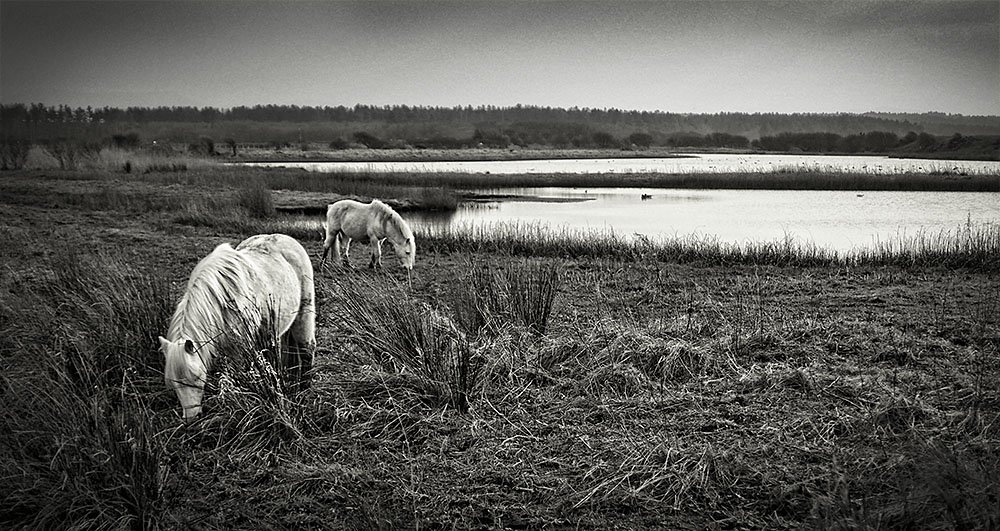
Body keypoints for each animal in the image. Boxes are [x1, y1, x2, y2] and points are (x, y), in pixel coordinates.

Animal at [158, 233, 316, 420]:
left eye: (196, 378)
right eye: (173, 384)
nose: (192, 417)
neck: (220, 299)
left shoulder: (240, 347)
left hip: (304, 314)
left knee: (307, 349)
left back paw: (304, 392)